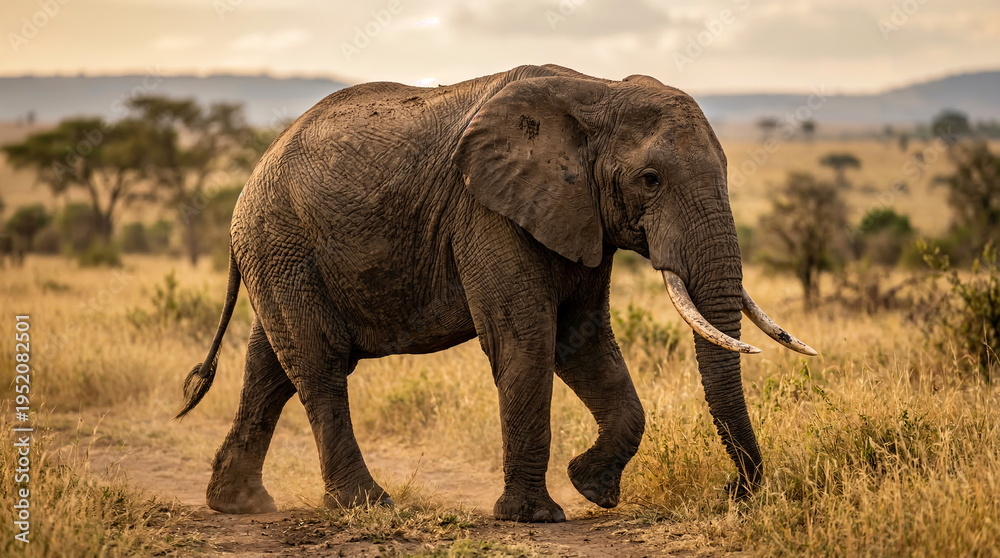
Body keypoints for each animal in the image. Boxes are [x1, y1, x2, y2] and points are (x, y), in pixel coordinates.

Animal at [177, 64, 816, 523]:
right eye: (650, 180)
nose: (732, 491)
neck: (598, 93)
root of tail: (253, 173)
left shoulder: (578, 215)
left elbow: (582, 341)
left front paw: (593, 488)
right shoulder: (487, 212)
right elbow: (525, 339)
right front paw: (535, 517)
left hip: (284, 253)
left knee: (271, 366)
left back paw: (238, 504)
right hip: (281, 241)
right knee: (319, 364)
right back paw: (367, 505)